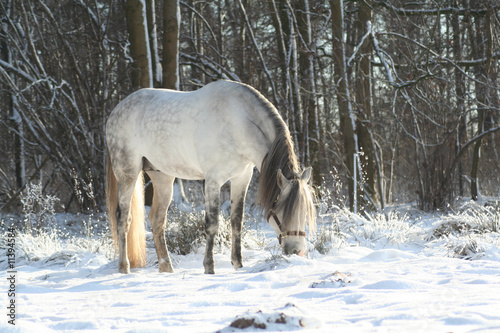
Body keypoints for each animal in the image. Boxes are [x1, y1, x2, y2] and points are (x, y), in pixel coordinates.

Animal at [105, 80, 316, 272]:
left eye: (305, 211)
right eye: (282, 210)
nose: (297, 251)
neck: (238, 123)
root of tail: (116, 111)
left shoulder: (241, 178)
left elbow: (236, 222)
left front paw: (238, 265)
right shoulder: (213, 180)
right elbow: (212, 224)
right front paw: (209, 268)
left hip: (162, 177)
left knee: (157, 219)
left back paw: (167, 269)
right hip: (128, 174)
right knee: (123, 218)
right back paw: (124, 268)